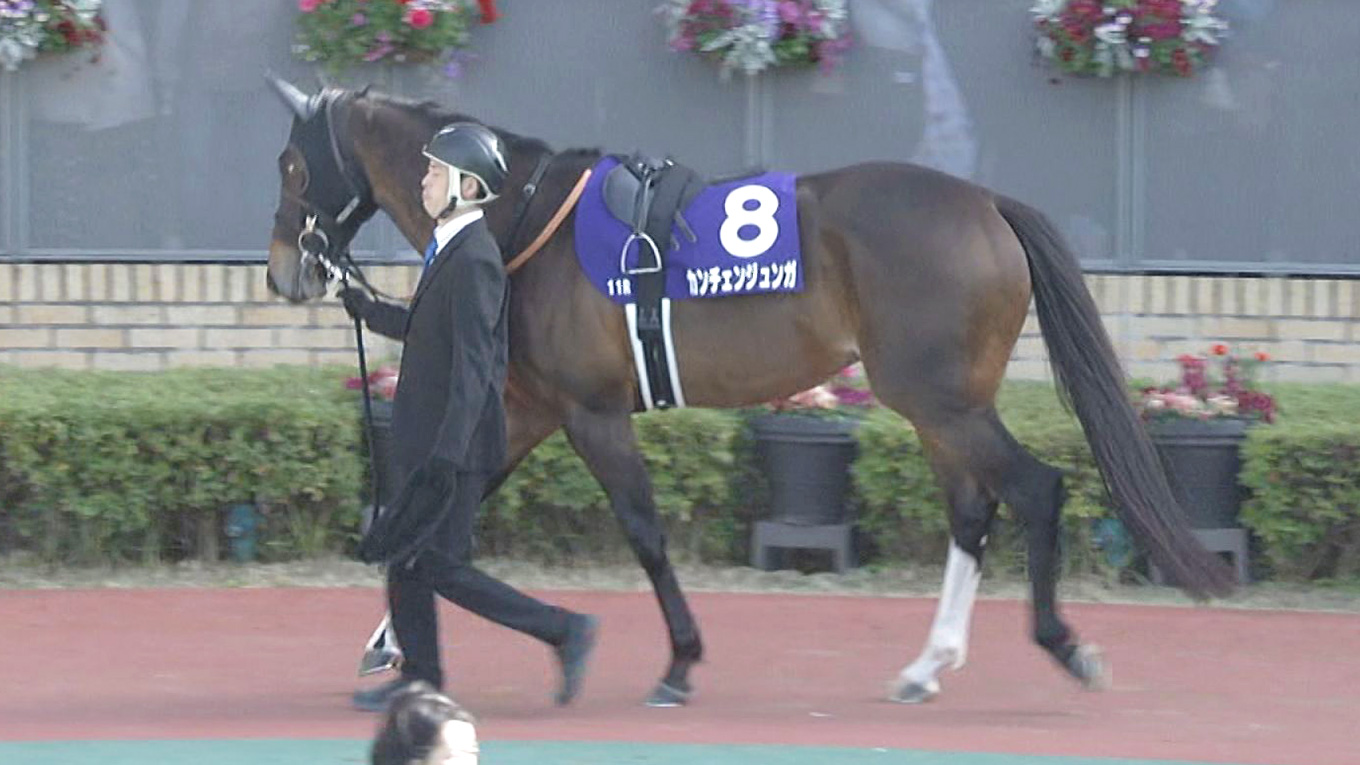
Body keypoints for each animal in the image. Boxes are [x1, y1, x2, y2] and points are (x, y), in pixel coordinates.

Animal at [263, 78, 1235, 707]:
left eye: (294, 168)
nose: (283, 272)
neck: (518, 213)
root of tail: (988, 203)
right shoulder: (528, 402)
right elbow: (446, 511)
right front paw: (387, 643)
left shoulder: (590, 411)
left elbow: (645, 532)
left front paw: (680, 661)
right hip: (939, 405)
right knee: (972, 510)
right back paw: (928, 663)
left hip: (942, 401)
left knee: (1035, 488)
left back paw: (1064, 644)